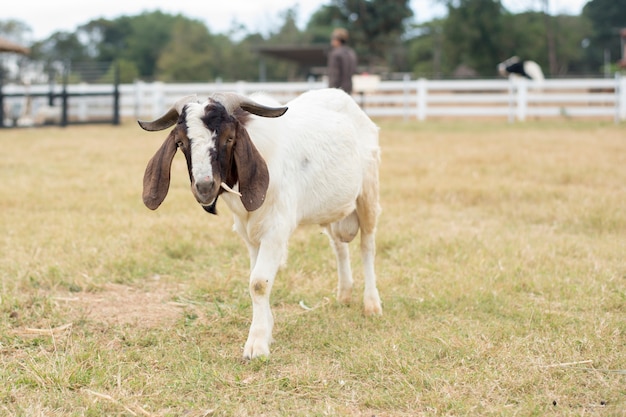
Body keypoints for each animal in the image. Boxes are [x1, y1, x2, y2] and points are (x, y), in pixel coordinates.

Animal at [137, 87, 380, 358]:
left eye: (229, 138)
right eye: (181, 142)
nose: (204, 186)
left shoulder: (275, 230)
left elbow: (258, 283)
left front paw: (257, 344)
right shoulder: (250, 234)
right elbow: (255, 278)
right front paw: (266, 329)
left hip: (368, 192)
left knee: (367, 245)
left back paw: (371, 305)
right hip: (331, 208)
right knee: (339, 246)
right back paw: (344, 294)